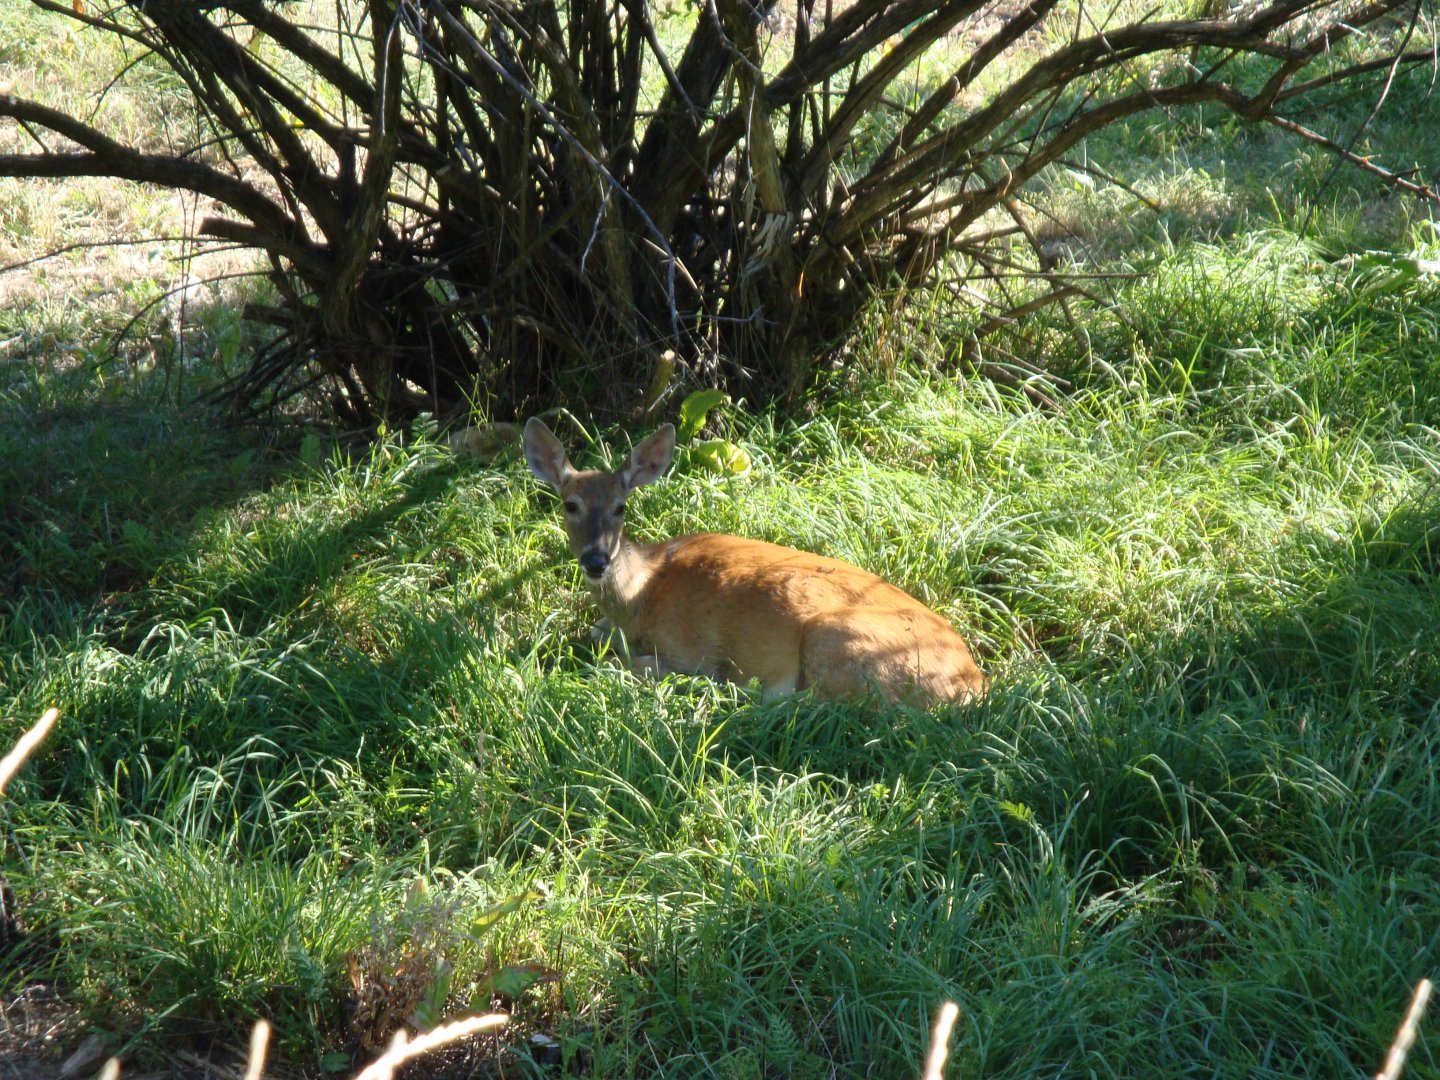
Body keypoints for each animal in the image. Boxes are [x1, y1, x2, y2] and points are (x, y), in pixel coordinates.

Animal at [523, 418, 986, 705]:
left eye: (621, 507)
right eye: (570, 504)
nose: (596, 560)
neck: (640, 594)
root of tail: (972, 683)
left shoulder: (688, 653)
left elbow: (621, 664)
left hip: (832, 636)